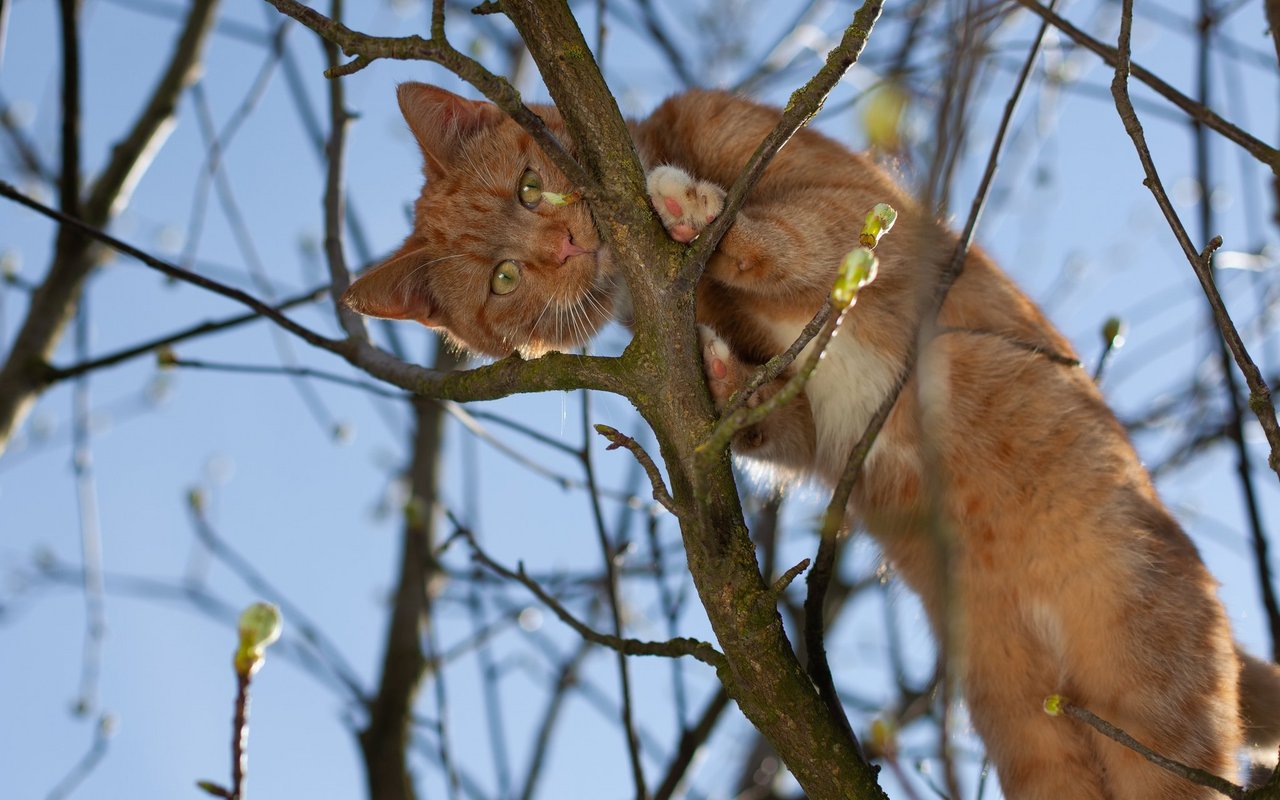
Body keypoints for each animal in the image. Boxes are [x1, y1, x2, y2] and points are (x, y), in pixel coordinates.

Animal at [343, 82, 1280, 798]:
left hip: (1150, 687)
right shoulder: (801, 429)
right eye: (504, 280)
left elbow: (793, 234)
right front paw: (722, 369)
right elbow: (769, 417)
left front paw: (686, 207)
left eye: (532, 188)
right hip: (1043, 745)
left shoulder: (865, 210)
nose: (567, 242)